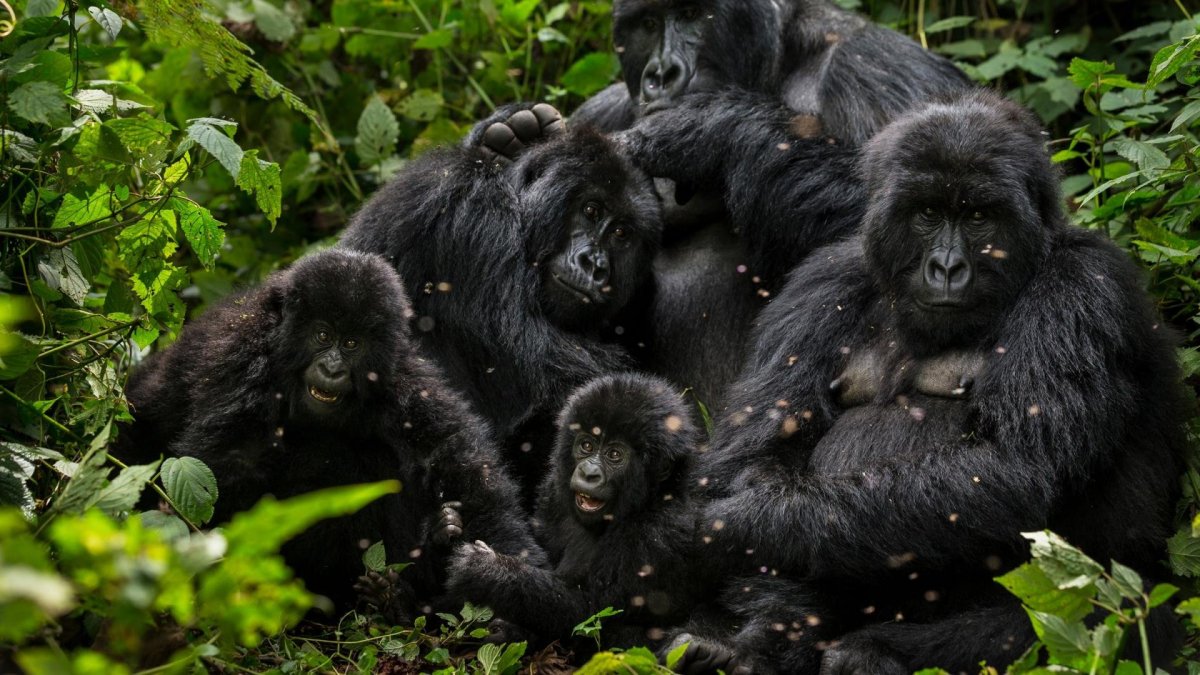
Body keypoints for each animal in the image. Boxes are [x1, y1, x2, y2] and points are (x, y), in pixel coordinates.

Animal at [446, 372, 705, 653]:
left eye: (615, 454)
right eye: (587, 445)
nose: (589, 472)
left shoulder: (656, 532)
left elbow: (593, 616)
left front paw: (490, 573)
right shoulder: (553, 491)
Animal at [571, 0, 974, 410]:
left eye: (691, 15)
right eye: (649, 24)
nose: (661, 74)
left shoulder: (881, 68)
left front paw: (711, 126)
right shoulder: (596, 113)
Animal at [676, 91, 1190, 667]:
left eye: (980, 216)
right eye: (927, 213)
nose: (946, 268)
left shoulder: (1082, 290)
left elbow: (1018, 468)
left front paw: (747, 522)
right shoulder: (819, 285)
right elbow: (752, 453)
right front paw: (772, 618)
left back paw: (865, 652)